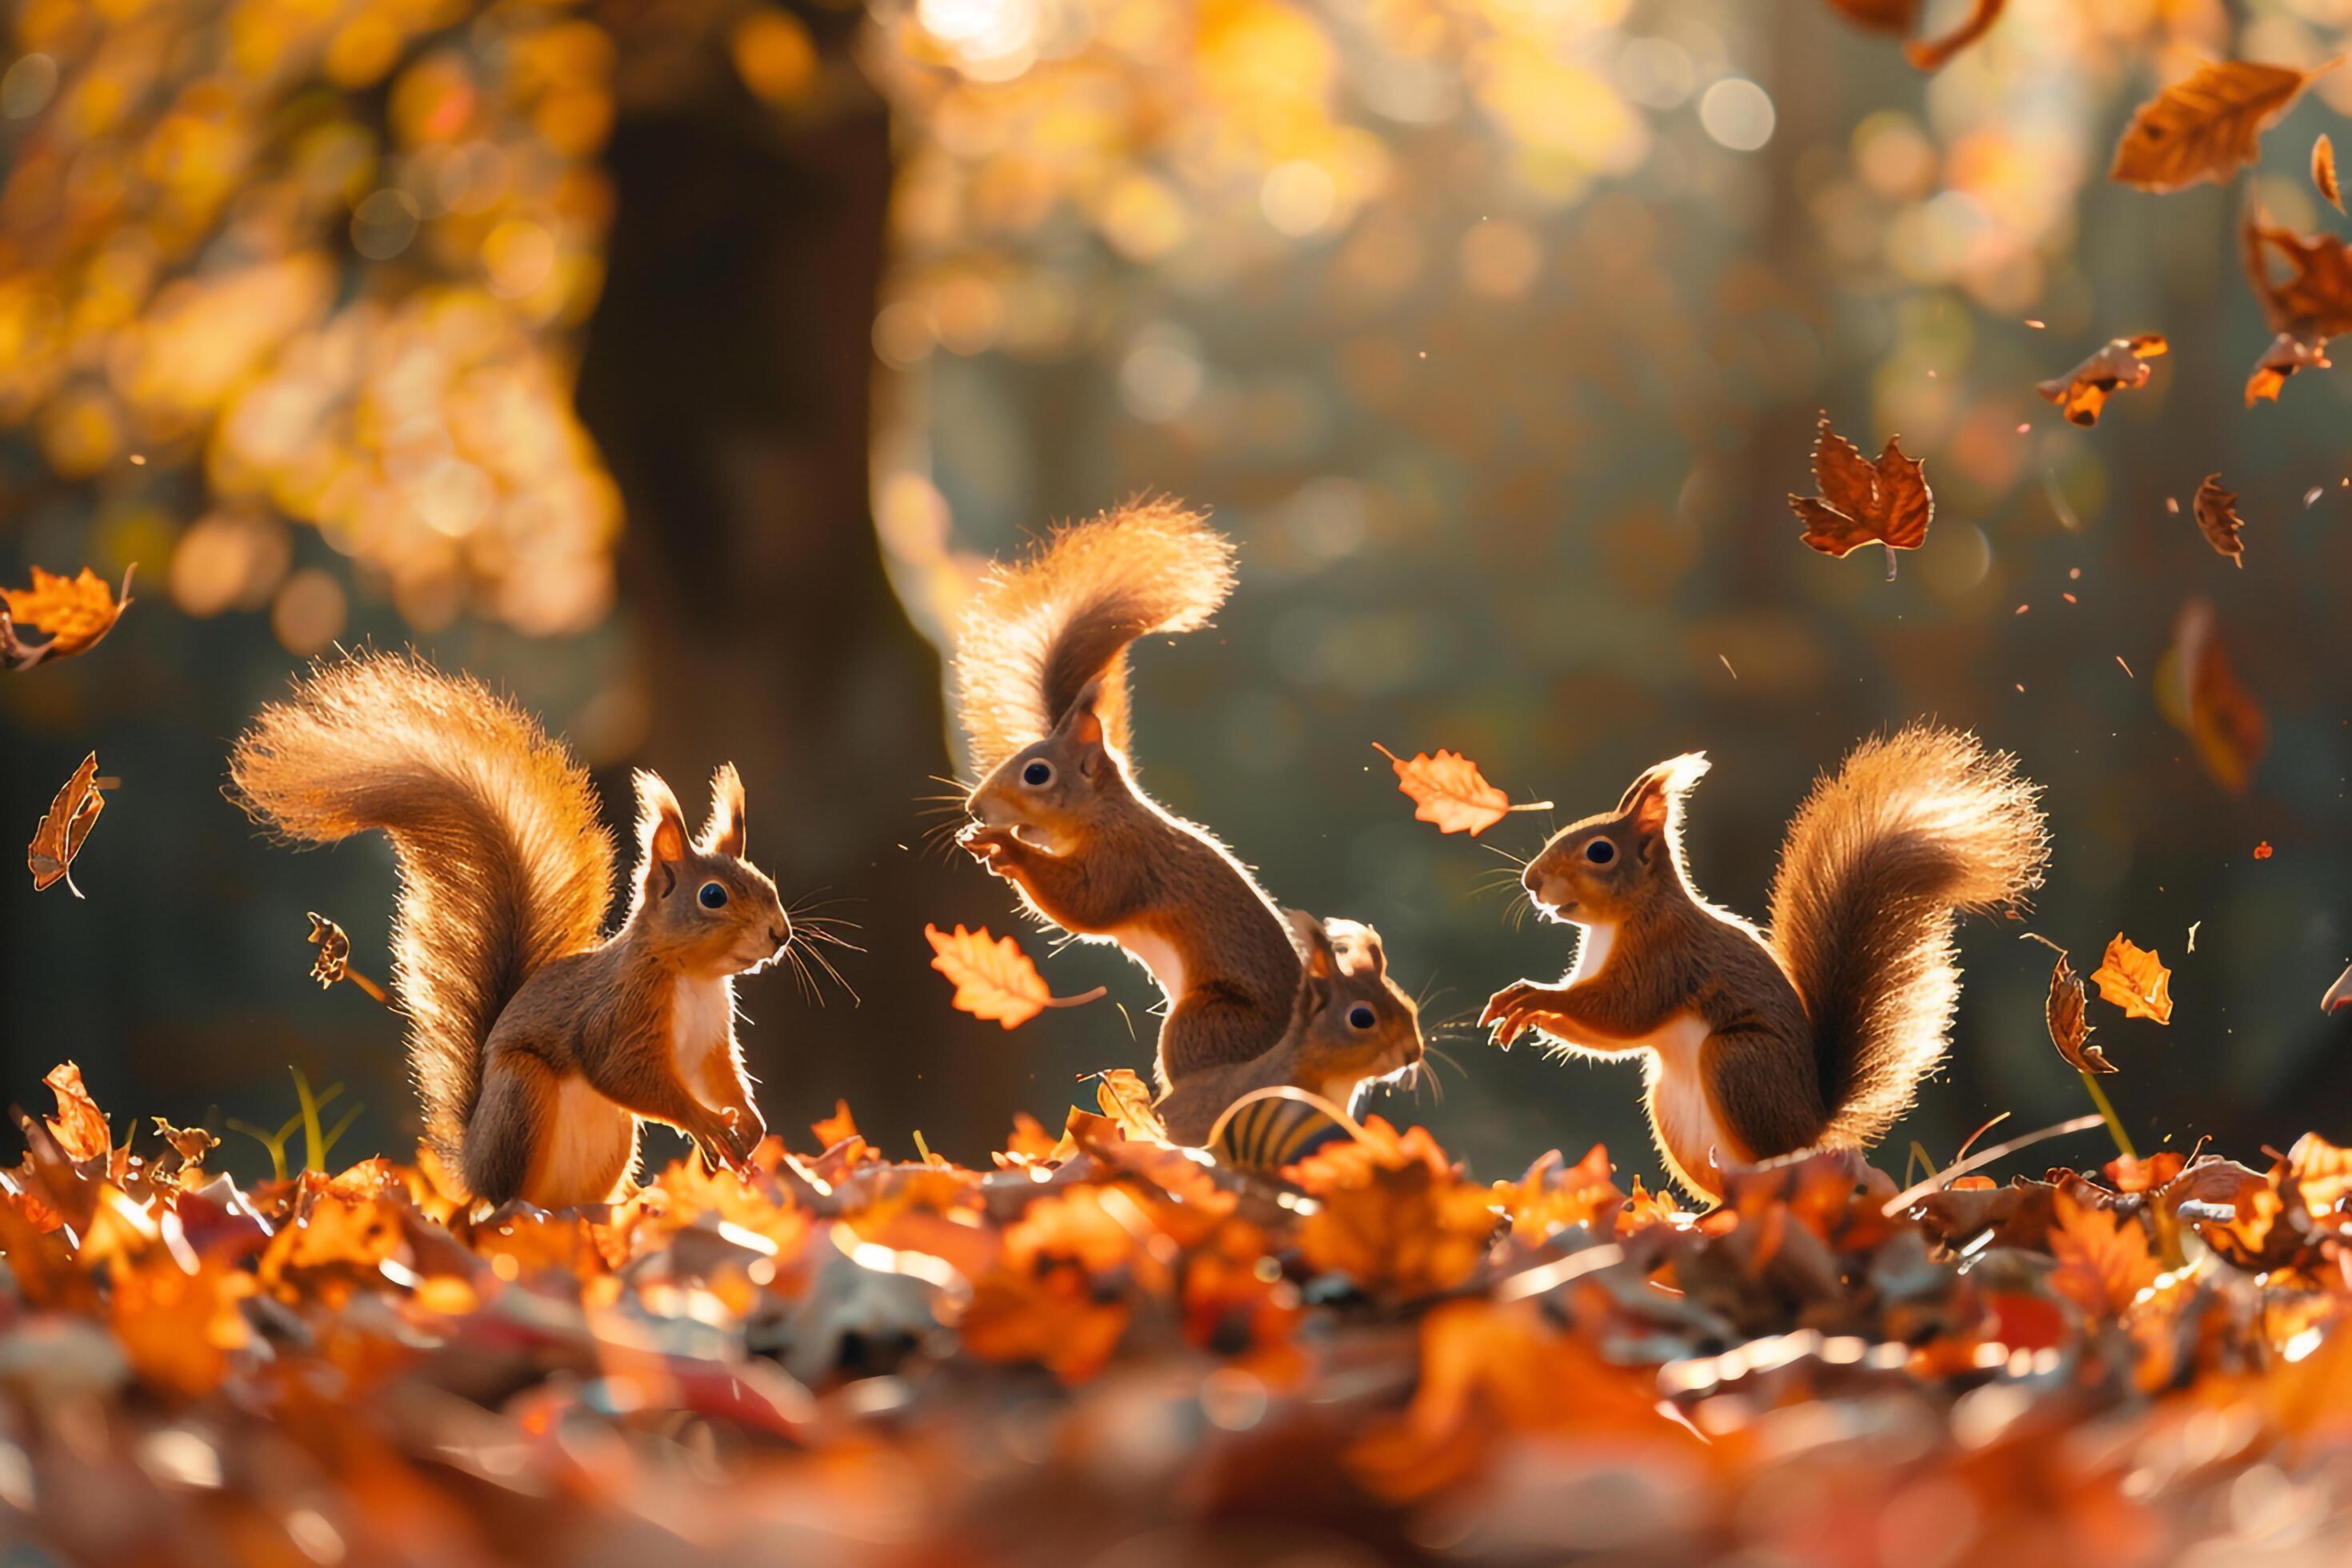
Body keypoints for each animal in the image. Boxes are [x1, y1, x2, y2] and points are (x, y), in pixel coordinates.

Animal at [230, 658, 799, 1213]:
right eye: (713, 897)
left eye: (766, 883)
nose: (781, 934)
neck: (693, 979)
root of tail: (473, 1164)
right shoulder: (618, 1017)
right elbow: (623, 1073)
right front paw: (708, 1123)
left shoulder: (709, 1041)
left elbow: (720, 1079)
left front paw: (749, 1124)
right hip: (522, 1099)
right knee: (509, 1197)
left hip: (613, 1137)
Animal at [945, 502, 1420, 1142]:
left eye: (1037, 774)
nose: (975, 809)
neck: (1104, 815)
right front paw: (987, 847)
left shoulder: (1126, 860)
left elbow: (1087, 907)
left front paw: (1007, 848)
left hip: (1201, 1021)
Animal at [1477, 724, 2050, 1203]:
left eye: (1600, 852)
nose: (1531, 881)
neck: (1618, 922)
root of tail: (1811, 1125)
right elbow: (1602, 1037)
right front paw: (1518, 1008)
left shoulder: (1665, 957)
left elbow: (1623, 1013)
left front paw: (1531, 997)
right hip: (1673, 1111)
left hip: (1737, 1064)